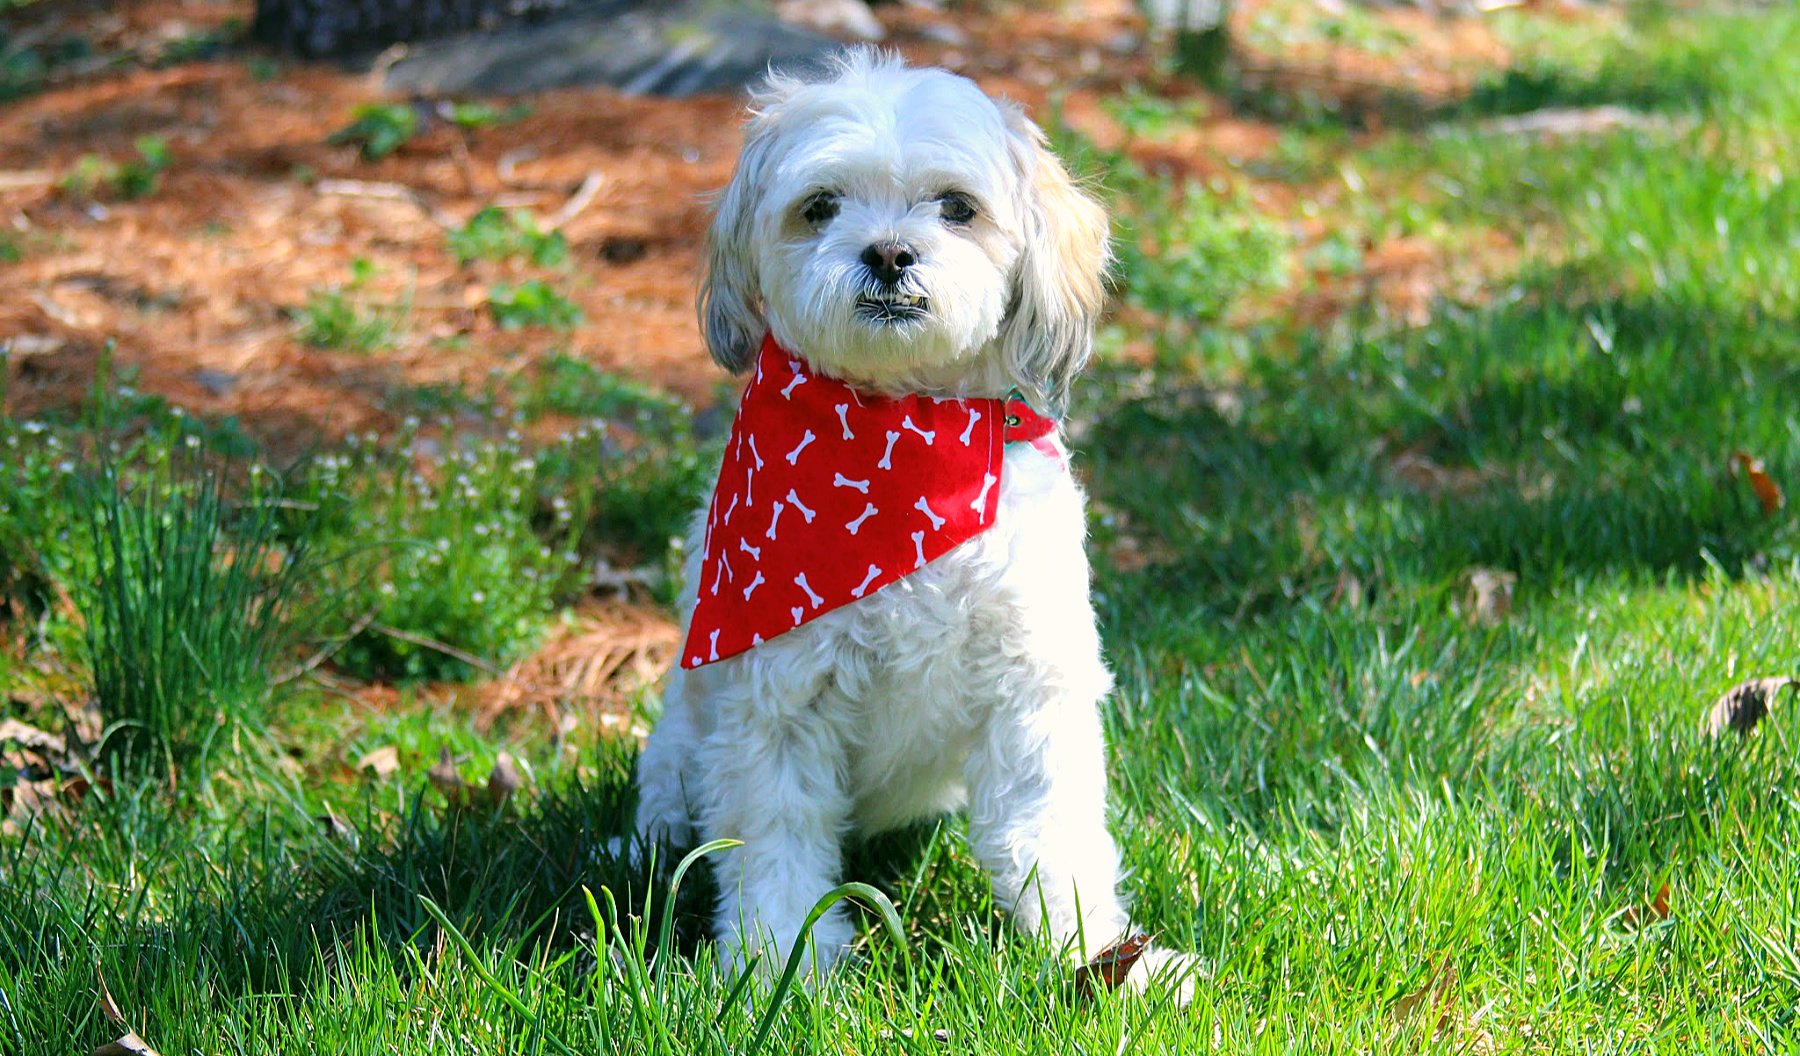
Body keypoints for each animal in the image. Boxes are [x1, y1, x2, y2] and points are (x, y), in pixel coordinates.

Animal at [633, 49, 1195, 1000]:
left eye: (956, 207)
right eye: (820, 206)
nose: (889, 252)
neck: (906, 439)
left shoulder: (1031, 691)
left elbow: (1050, 834)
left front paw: (1096, 955)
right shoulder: (777, 706)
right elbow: (776, 847)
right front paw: (779, 971)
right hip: (681, 747)